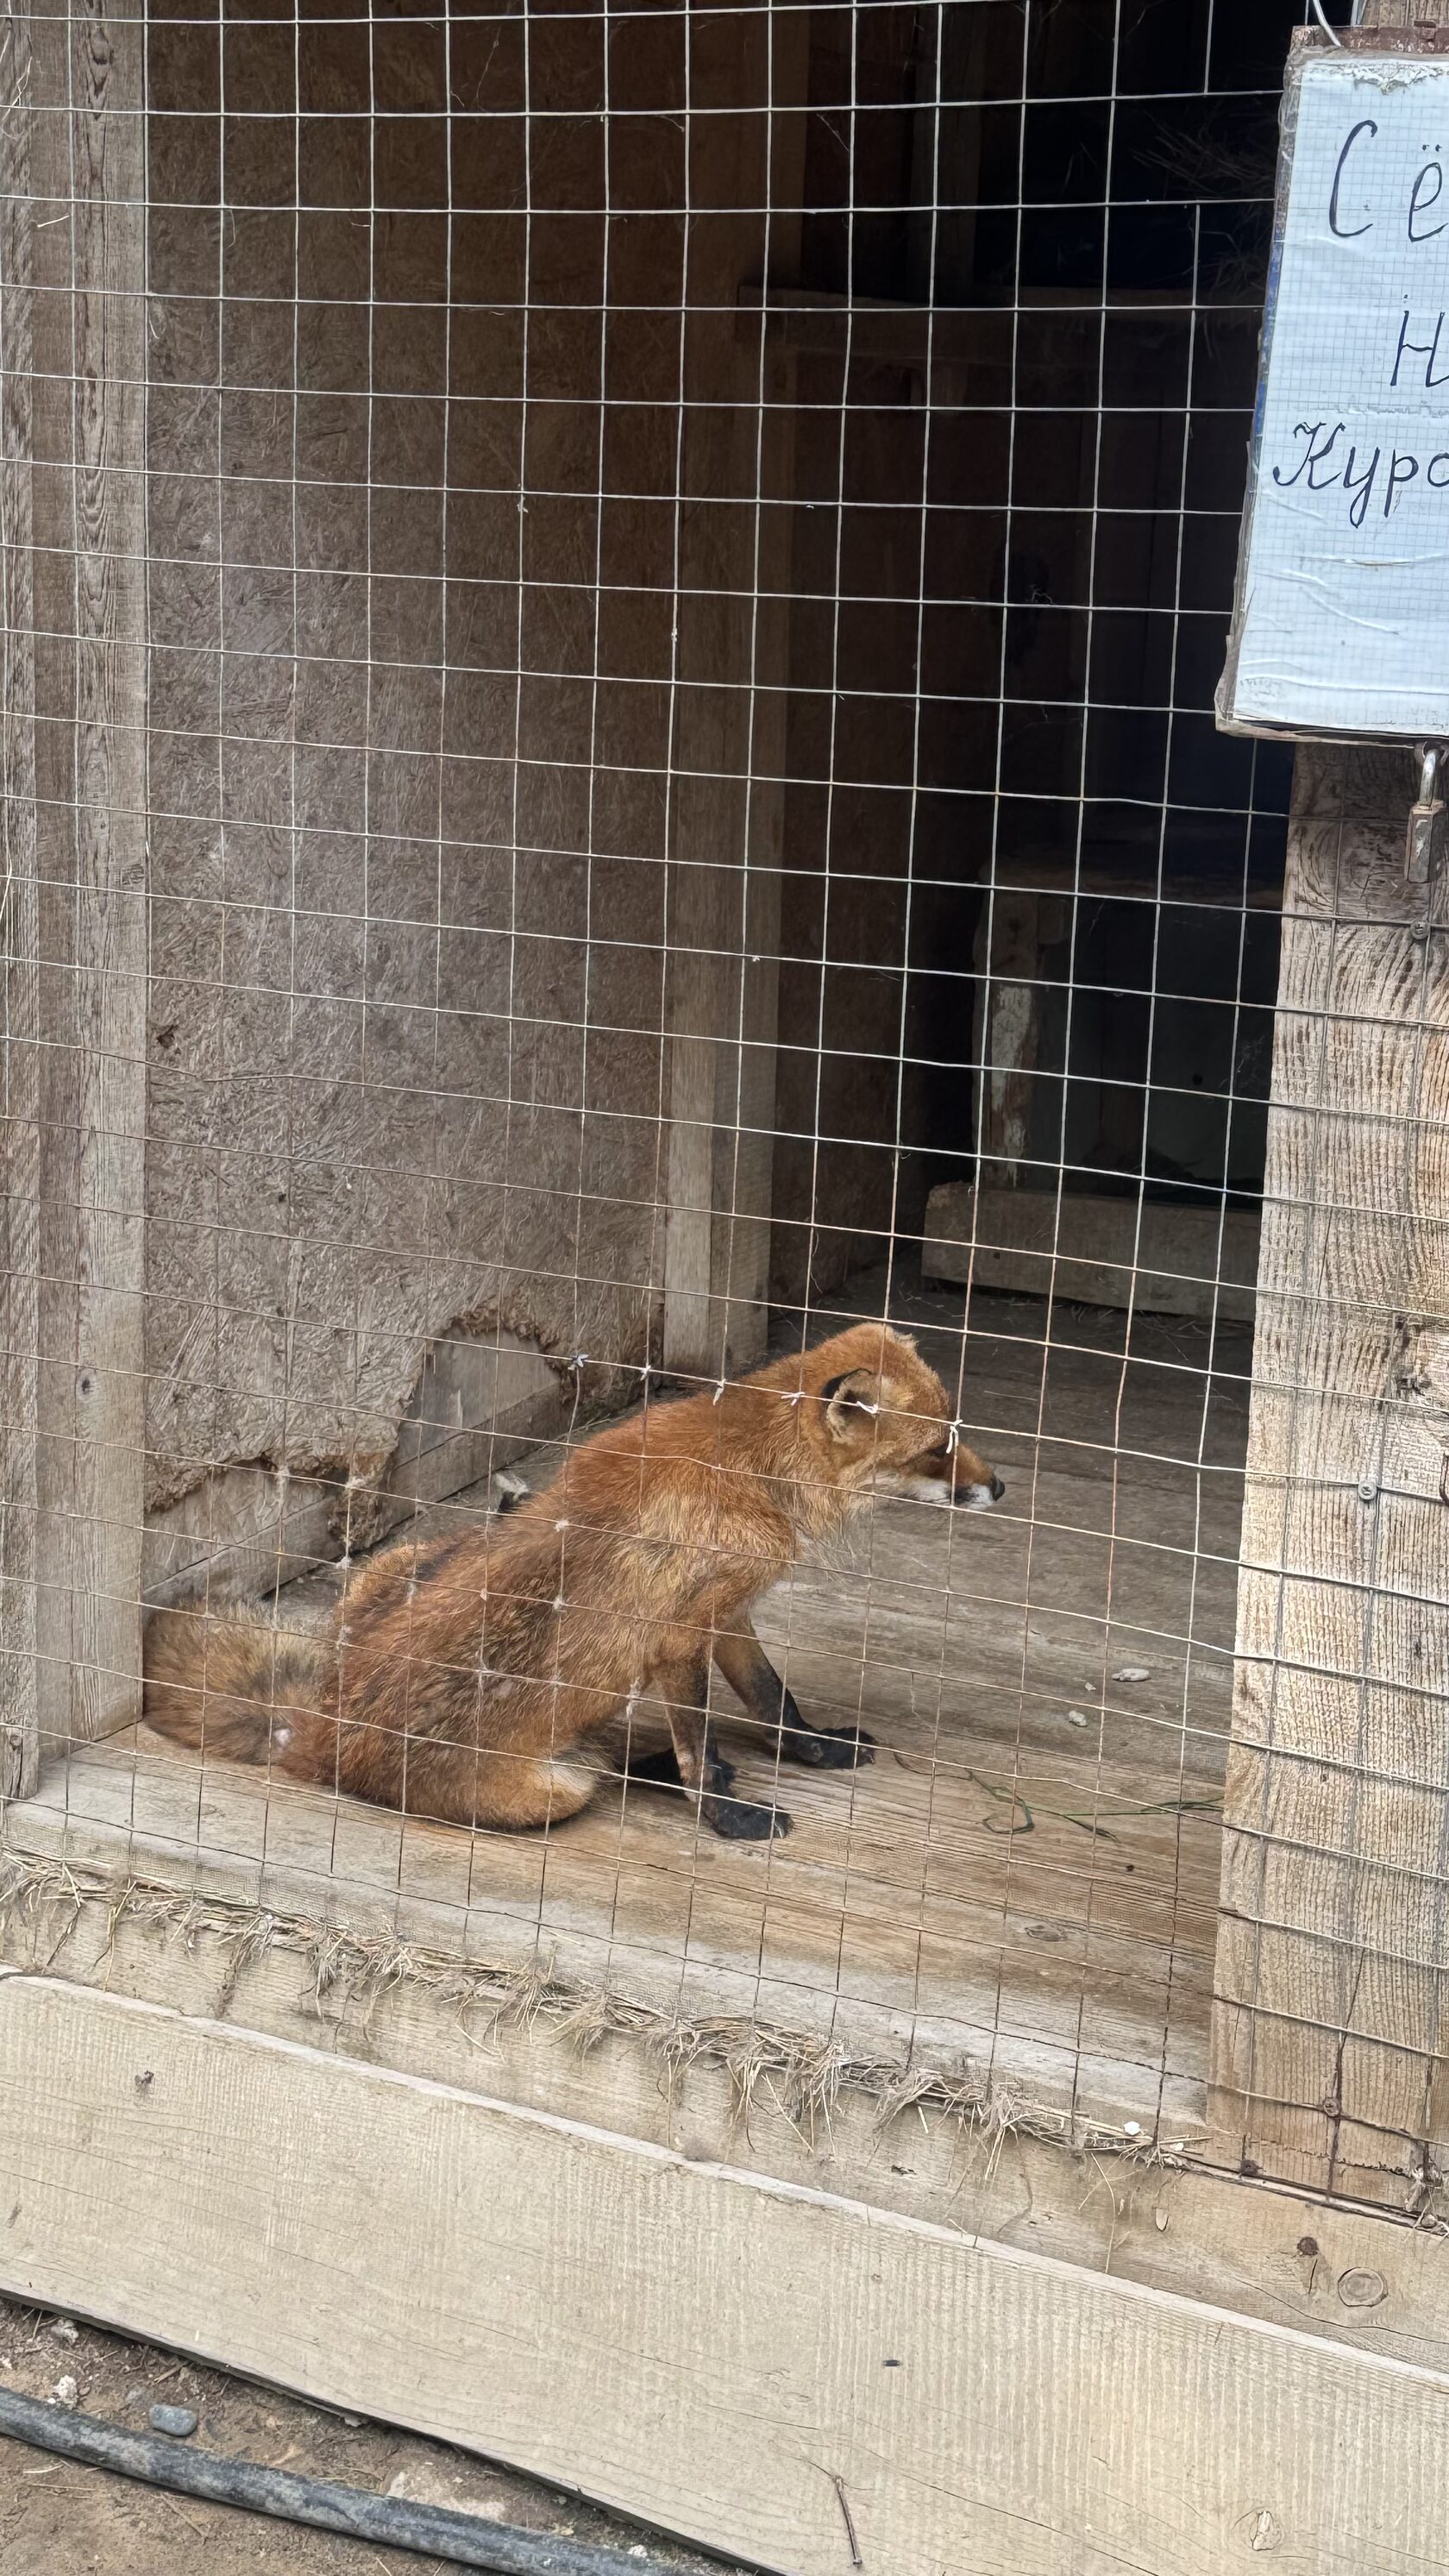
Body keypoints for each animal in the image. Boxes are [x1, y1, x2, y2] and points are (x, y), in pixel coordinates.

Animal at [144, 1322, 1004, 1844]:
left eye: (957, 1433)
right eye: (936, 1450)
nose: (999, 1487)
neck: (753, 1470)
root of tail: (316, 1722)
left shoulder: (728, 1614)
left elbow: (774, 1702)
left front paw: (815, 1750)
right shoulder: (679, 1635)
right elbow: (698, 1747)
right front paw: (725, 1817)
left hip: (415, 1560)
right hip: (552, 1789)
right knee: (604, 1769)